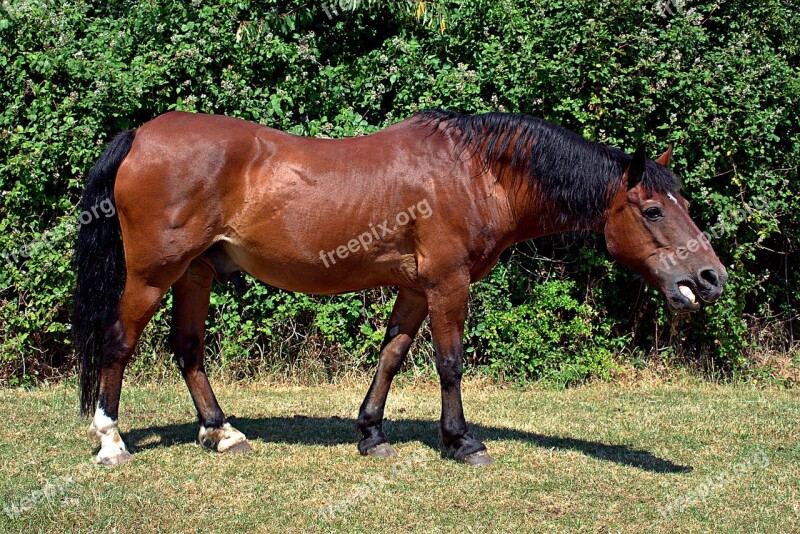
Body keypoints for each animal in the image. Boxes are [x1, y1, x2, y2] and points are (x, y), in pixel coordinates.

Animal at [72, 111, 728, 466]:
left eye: (683, 203)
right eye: (652, 210)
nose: (710, 277)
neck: (476, 173)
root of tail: (141, 135)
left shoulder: (415, 288)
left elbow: (391, 356)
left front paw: (371, 434)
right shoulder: (447, 282)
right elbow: (449, 361)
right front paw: (461, 441)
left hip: (197, 273)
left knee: (187, 349)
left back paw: (222, 432)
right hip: (152, 276)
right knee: (119, 342)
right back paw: (111, 440)